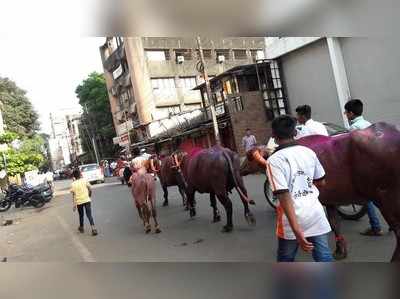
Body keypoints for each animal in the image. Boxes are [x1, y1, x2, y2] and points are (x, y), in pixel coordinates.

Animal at [242, 123, 400, 262]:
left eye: (249, 156)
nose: (241, 168)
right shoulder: (331, 201)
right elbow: (335, 224)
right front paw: (340, 250)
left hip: (386, 201)